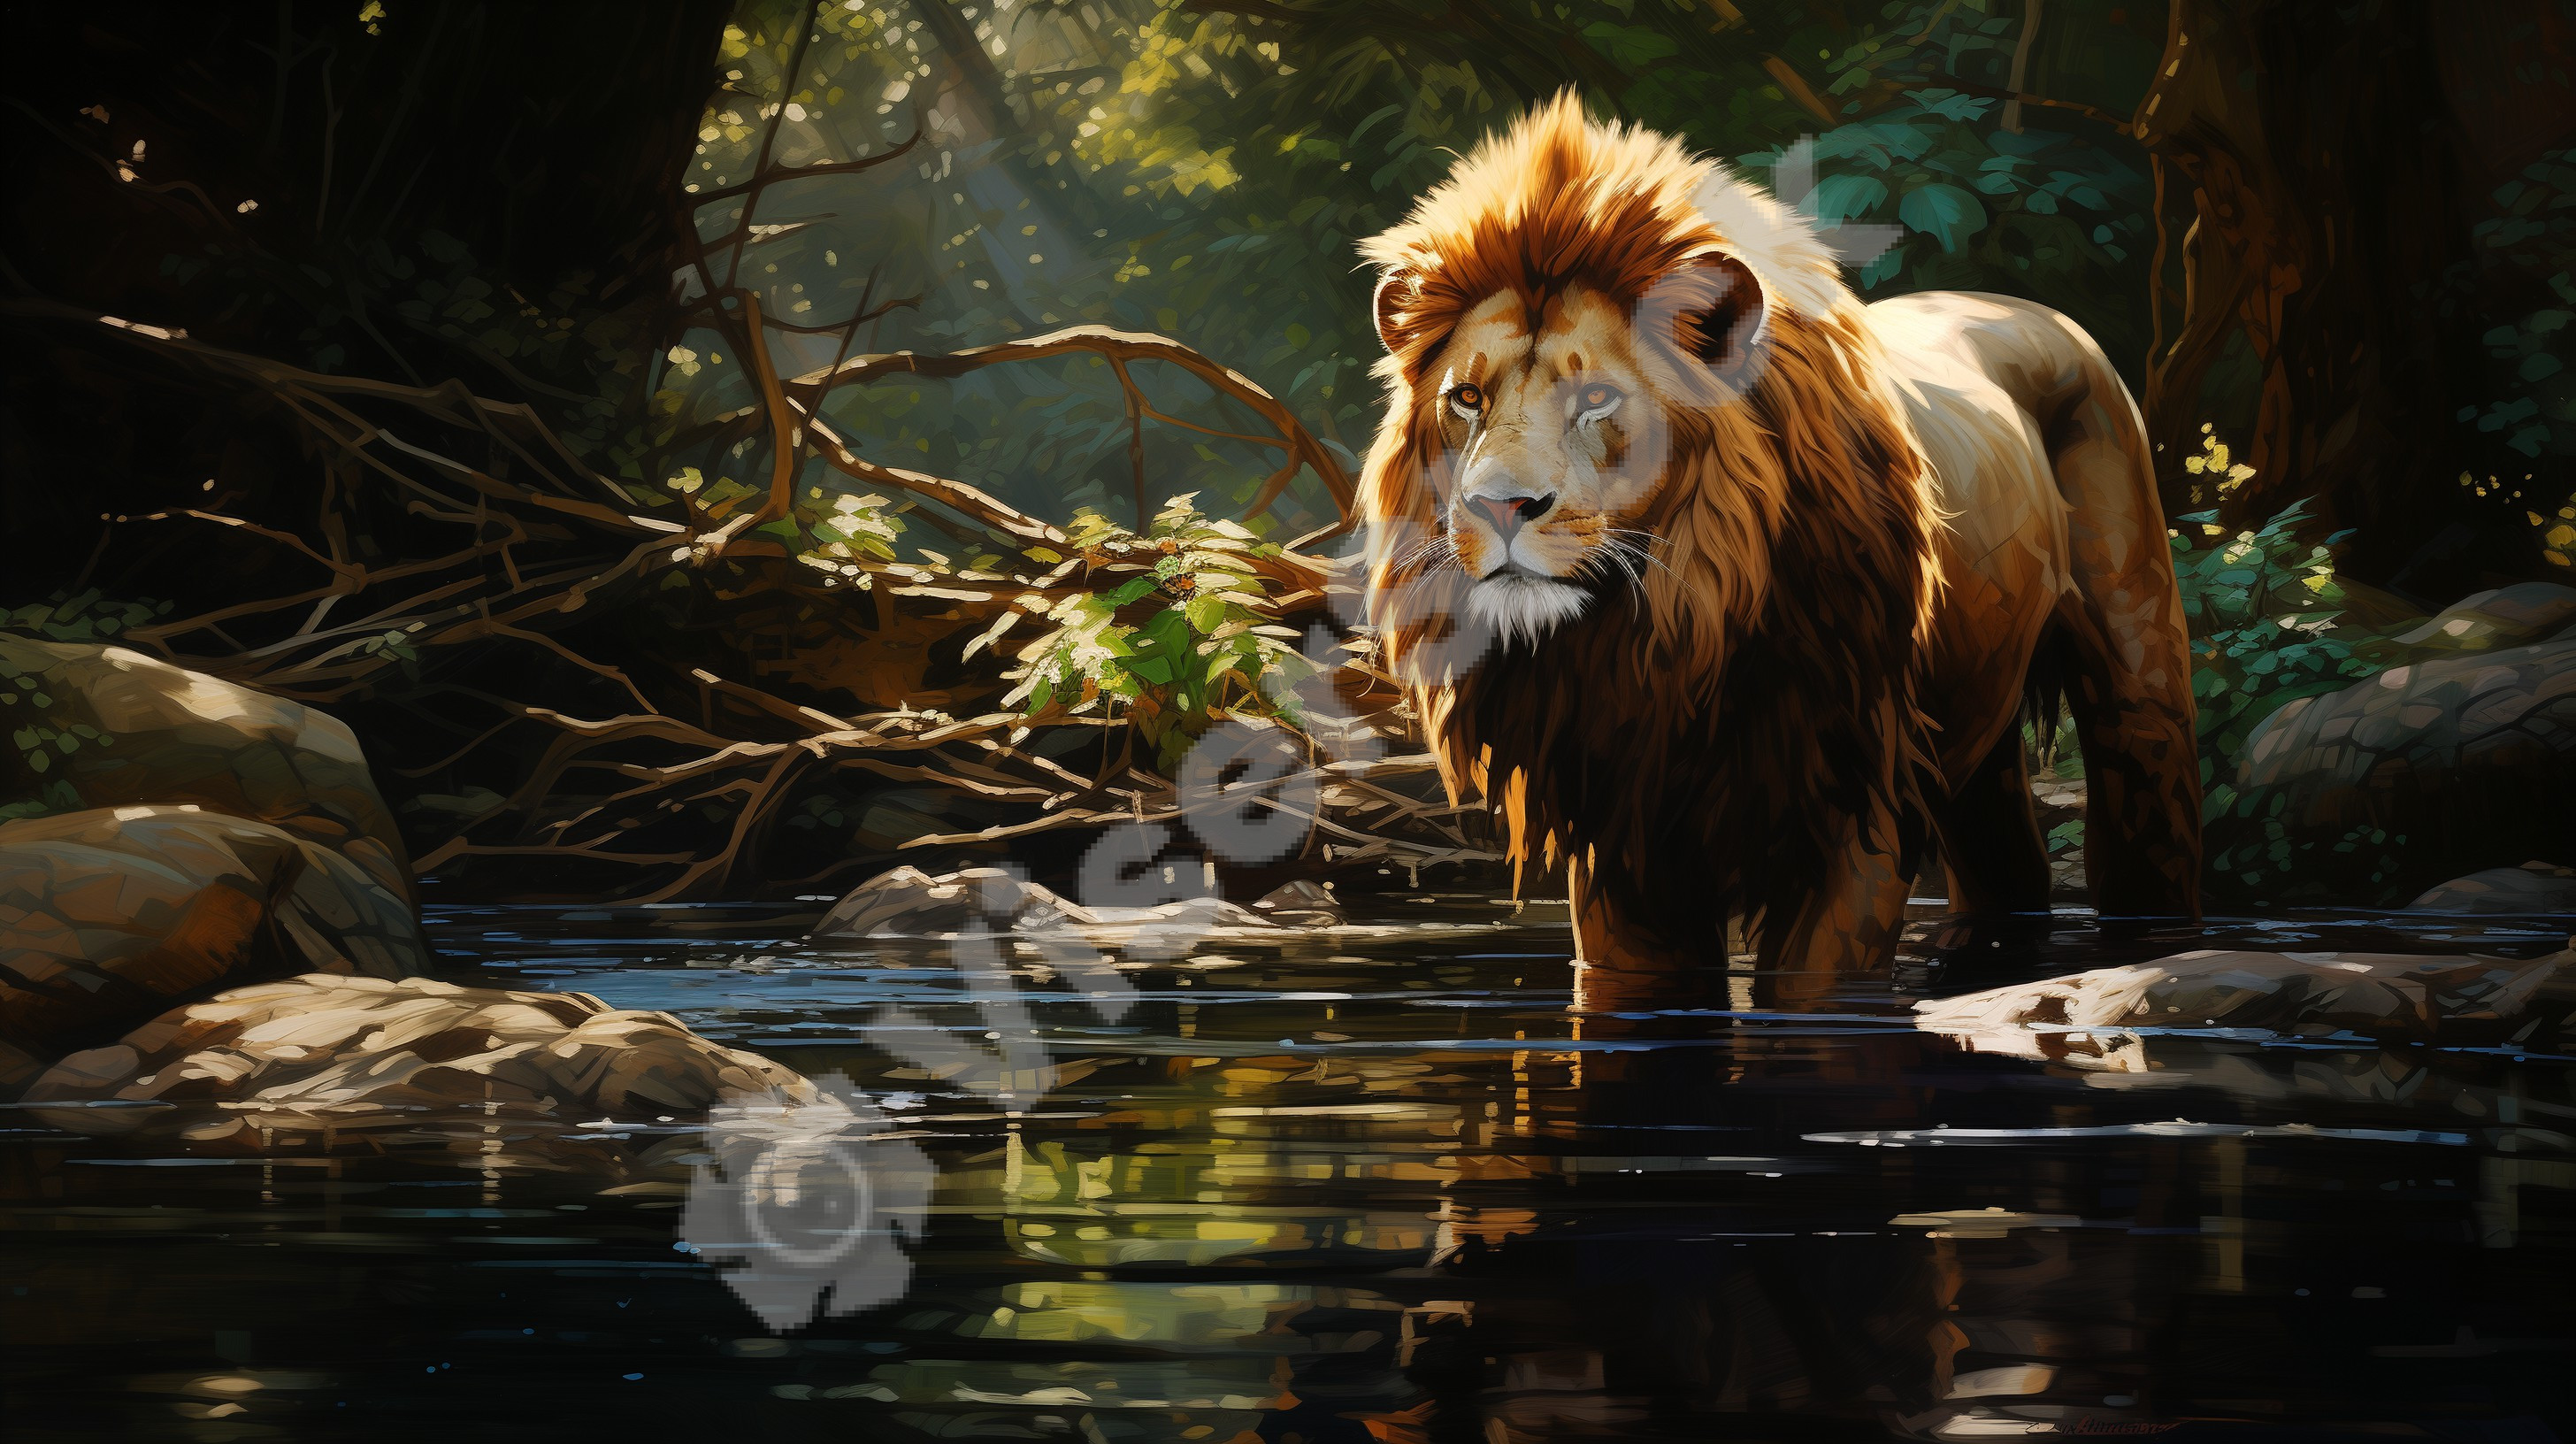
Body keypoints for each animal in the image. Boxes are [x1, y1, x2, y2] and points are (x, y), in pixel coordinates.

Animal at [1355, 94, 2201, 1008]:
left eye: (1597, 398)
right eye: (1468, 398)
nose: (1500, 505)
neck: (1667, 634)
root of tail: (2035, 310)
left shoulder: (1856, 807)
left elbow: (1814, 994)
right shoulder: (1620, 833)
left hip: (2136, 668)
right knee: (2008, 862)